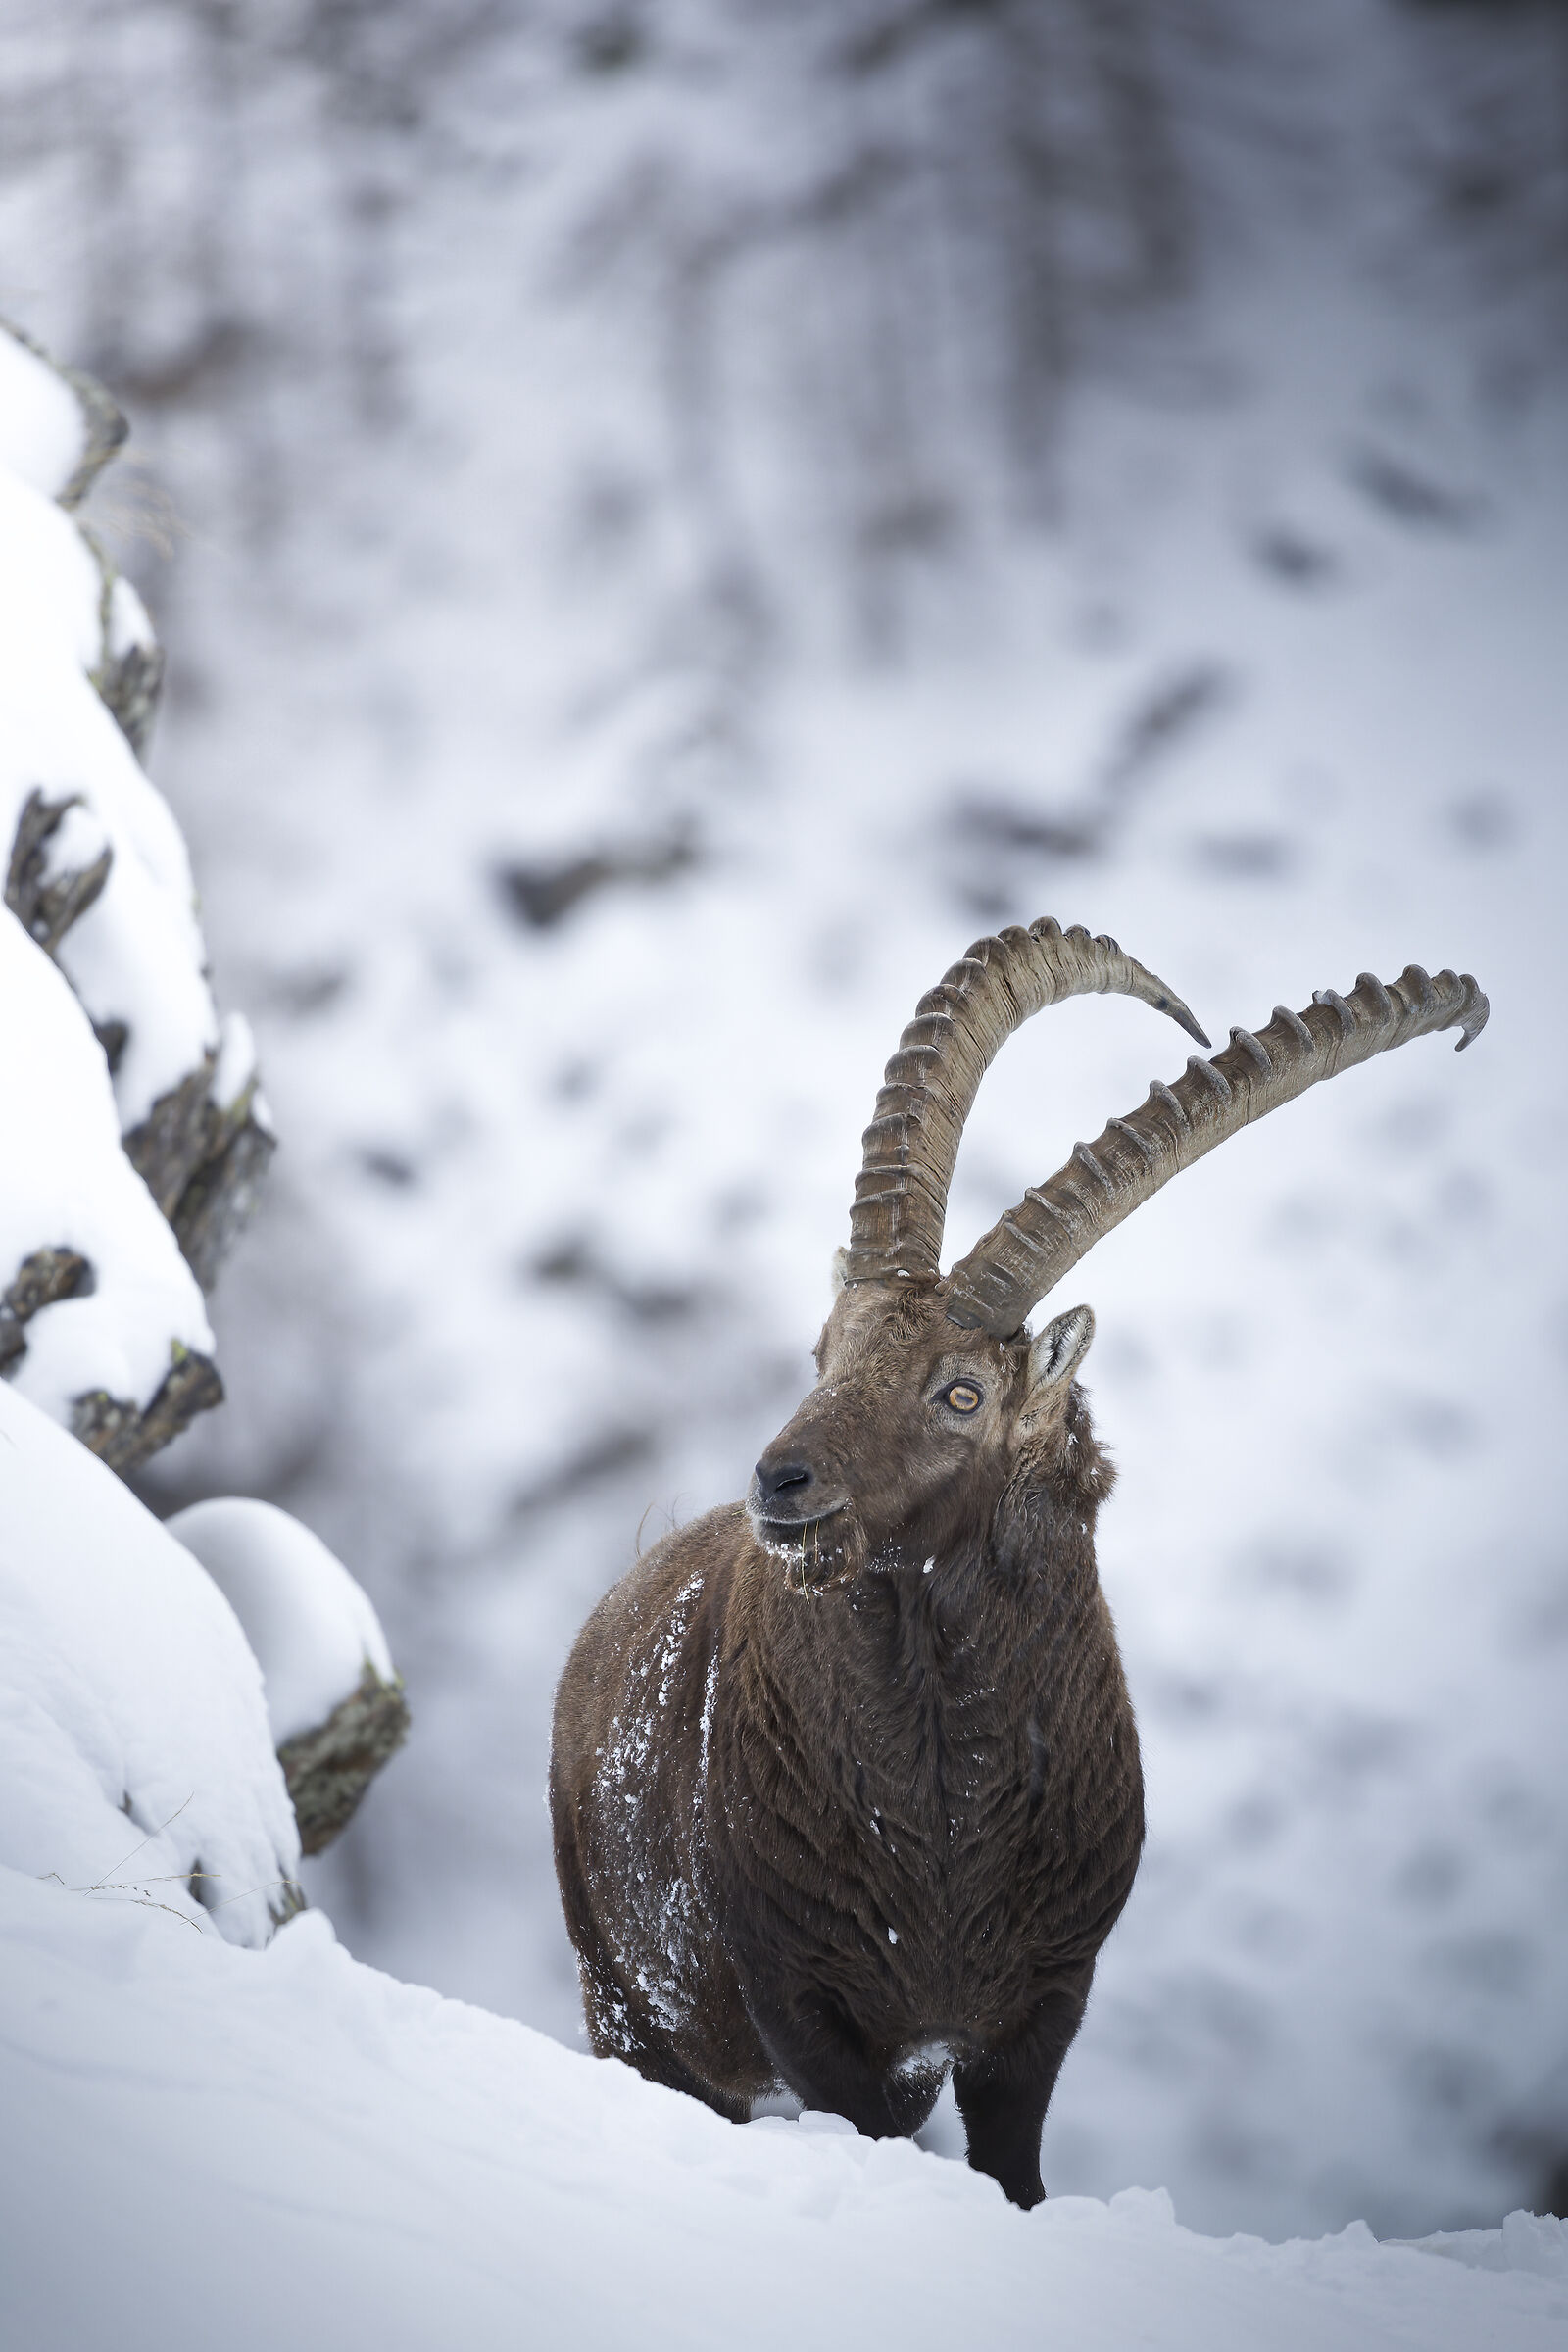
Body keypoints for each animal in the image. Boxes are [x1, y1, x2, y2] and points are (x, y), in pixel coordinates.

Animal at [550, 919, 1487, 2207]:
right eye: (826, 1351)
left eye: (963, 1391)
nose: (780, 1485)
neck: (942, 1820)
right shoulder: (809, 2009)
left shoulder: (1039, 2011)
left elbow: (1014, 2170)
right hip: (629, 2002)